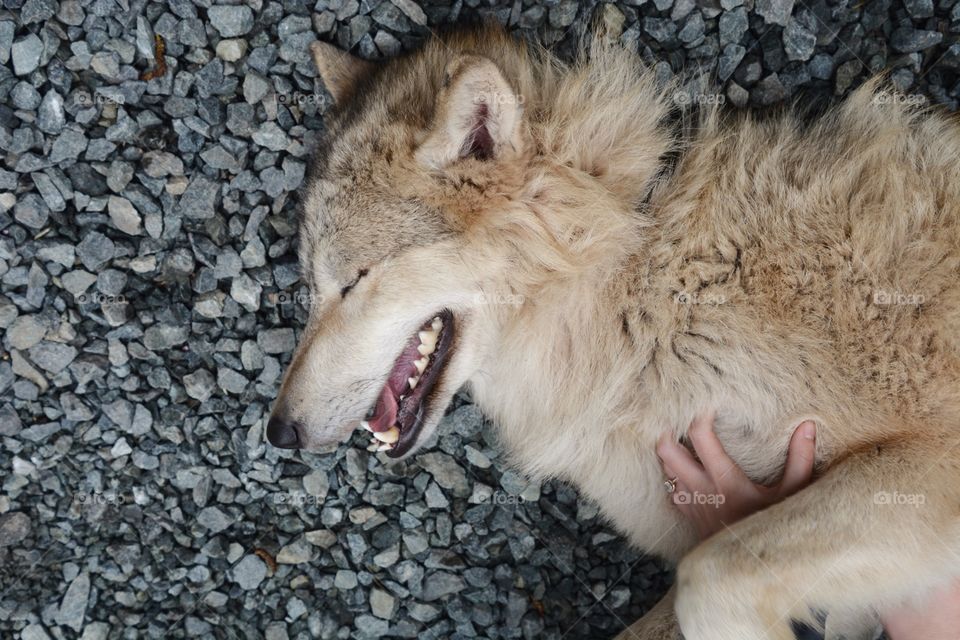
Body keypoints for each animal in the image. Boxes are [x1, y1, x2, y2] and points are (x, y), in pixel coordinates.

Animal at [267, 24, 960, 640]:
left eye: (355, 279)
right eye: (312, 287)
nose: (277, 434)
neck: (636, 290)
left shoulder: (926, 463)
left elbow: (708, 579)